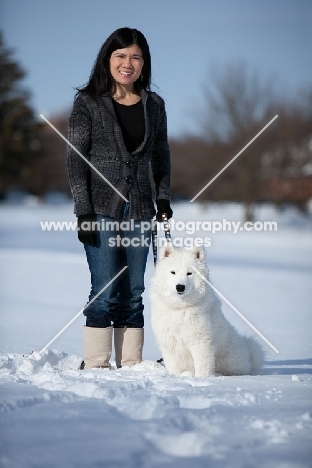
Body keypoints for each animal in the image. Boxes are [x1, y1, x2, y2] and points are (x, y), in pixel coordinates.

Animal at [151, 245, 264, 376]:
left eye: (189, 273)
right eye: (173, 272)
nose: (180, 287)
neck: (181, 308)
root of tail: (248, 352)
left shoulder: (201, 343)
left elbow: (202, 367)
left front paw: (201, 379)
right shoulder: (169, 345)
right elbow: (174, 368)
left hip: (227, 362)